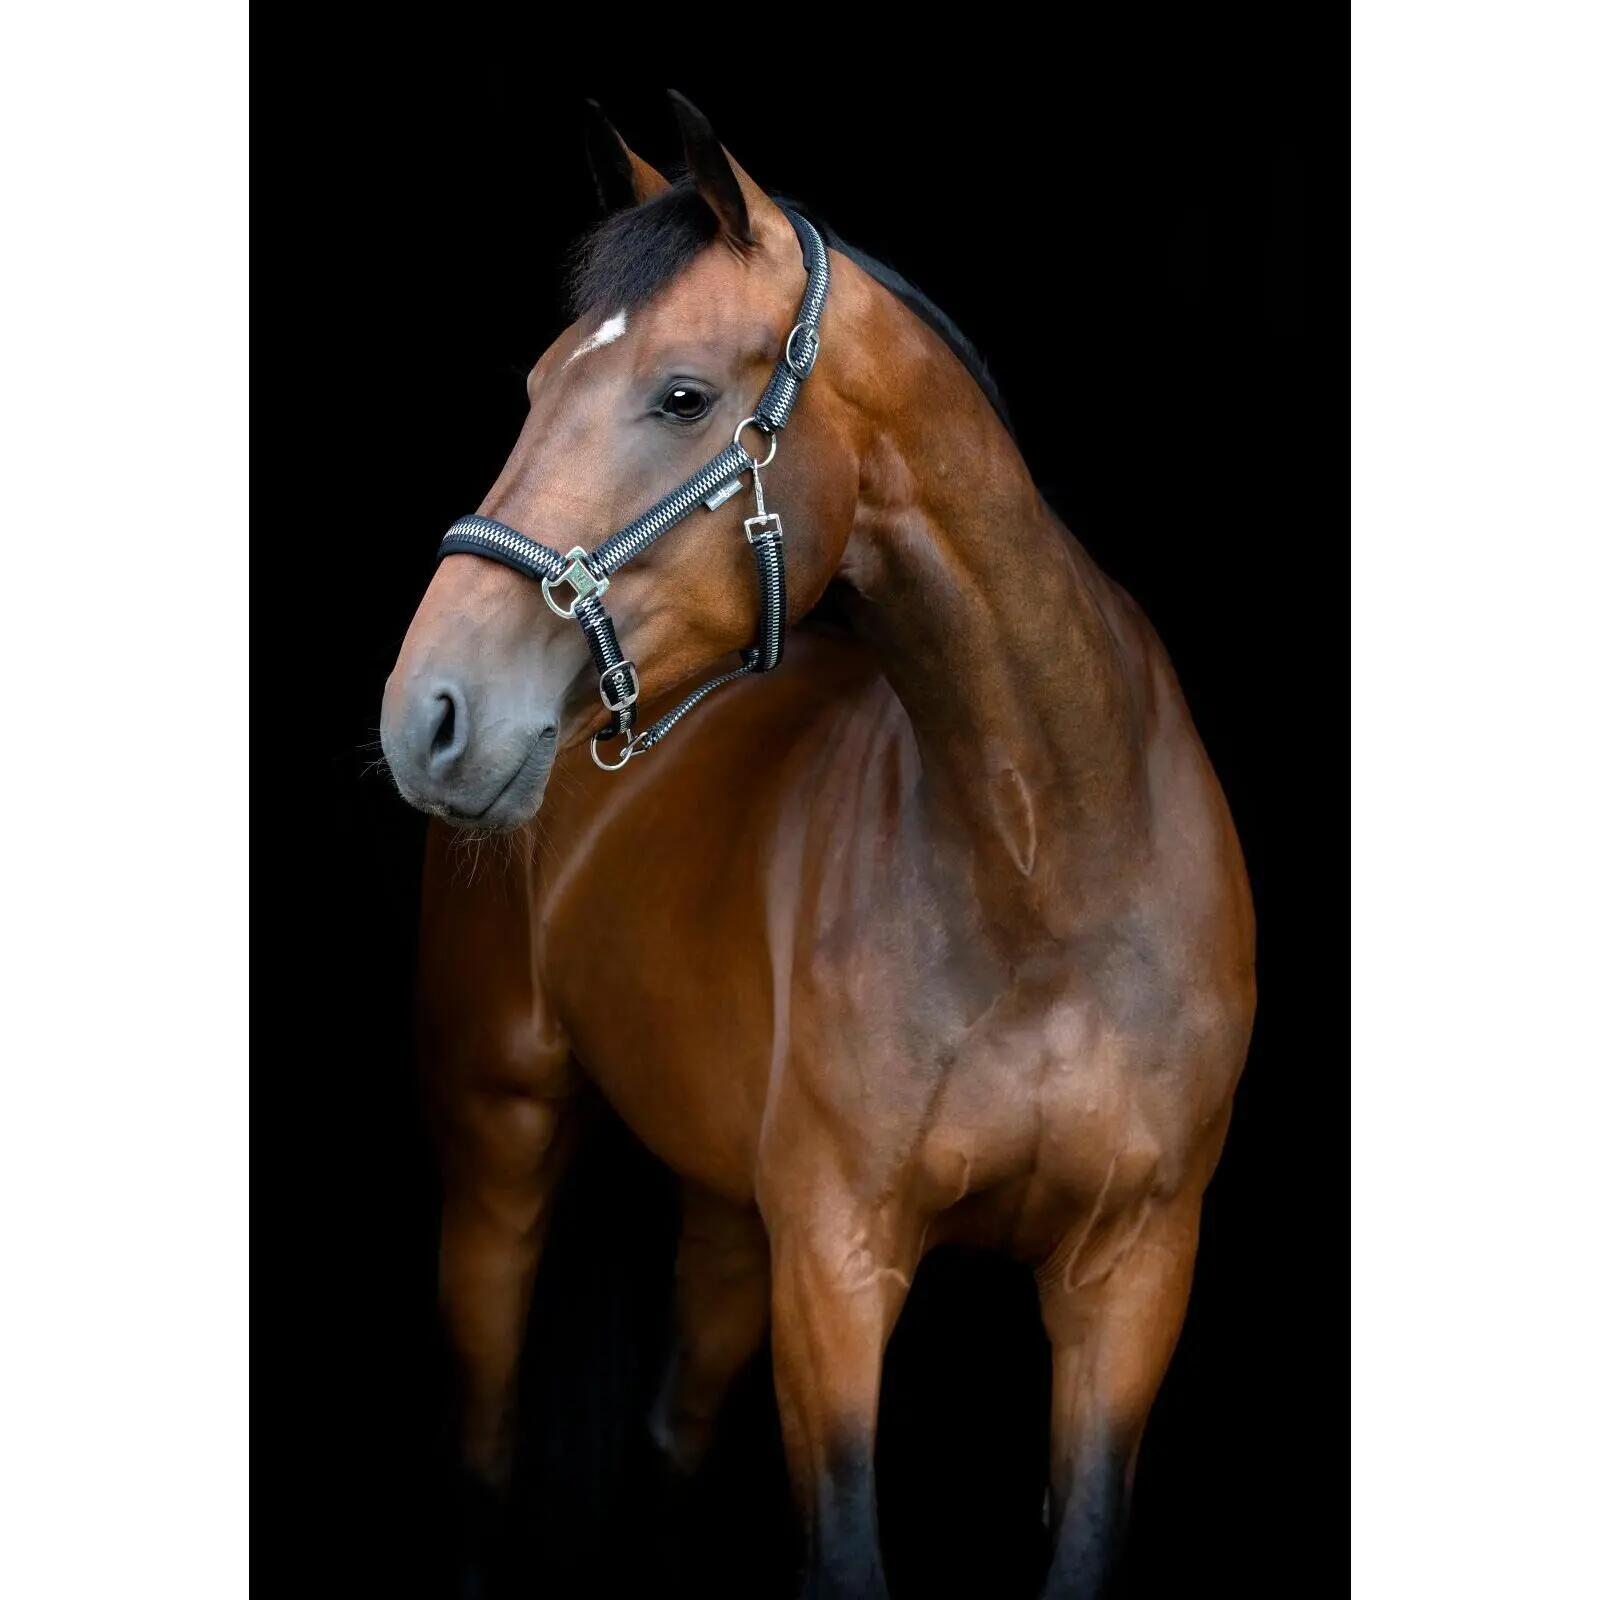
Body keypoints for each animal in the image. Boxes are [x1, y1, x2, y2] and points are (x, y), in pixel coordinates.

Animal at [379, 92, 1255, 1599]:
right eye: (538, 380)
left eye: (681, 395)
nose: (427, 713)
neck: (1050, 871)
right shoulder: (838, 1268)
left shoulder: (1134, 1274)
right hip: (500, 1137)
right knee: (482, 1452)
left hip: (728, 1215)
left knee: (672, 1436)